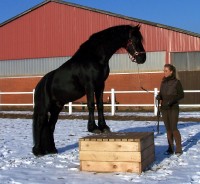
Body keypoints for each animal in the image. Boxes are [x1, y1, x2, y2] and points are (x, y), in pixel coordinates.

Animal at [32, 24, 145, 156]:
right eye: (135, 40)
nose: (143, 58)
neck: (94, 57)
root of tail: (40, 84)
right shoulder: (90, 85)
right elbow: (91, 105)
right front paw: (93, 128)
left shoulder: (100, 85)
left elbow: (100, 105)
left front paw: (104, 127)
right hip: (44, 108)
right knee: (40, 125)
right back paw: (38, 151)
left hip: (56, 108)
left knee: (50, 126)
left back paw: (52, 149)